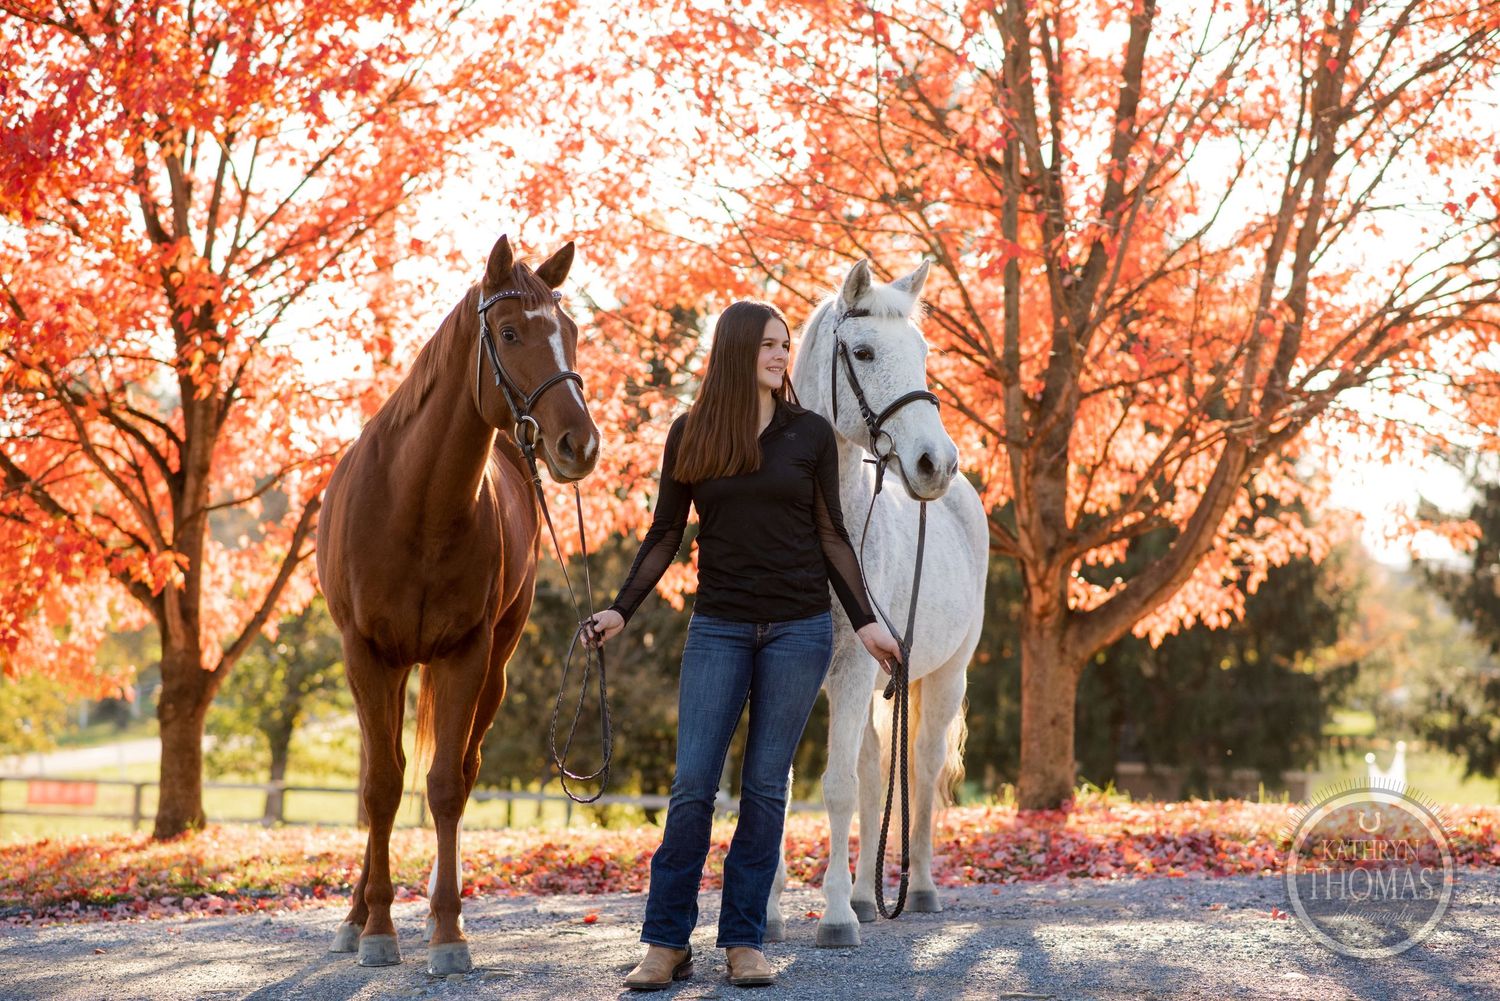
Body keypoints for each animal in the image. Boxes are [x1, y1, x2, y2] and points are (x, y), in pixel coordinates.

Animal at [316, 234, 600, 975]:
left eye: (572, 332)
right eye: (509, 333)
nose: (580, 444)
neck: (416, 504)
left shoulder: (466, 656)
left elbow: (443, 785)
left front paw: (447, 931)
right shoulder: (367, 655)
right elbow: (381, 788)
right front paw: (376, 928)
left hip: (492, 669)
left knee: (460, 774)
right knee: (380, 776)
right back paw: (356, 915)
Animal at [768, 259, 989, 948]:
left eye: (923, 353)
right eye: (862, 352)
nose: (935, 463)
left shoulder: (849, 671)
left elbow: (837, 788)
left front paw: (834, 919)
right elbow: (783, 784)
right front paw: (770, 914)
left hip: (944, 677)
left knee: (919, 769)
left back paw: (913, 891)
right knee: (873, 777)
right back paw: (868, 897)